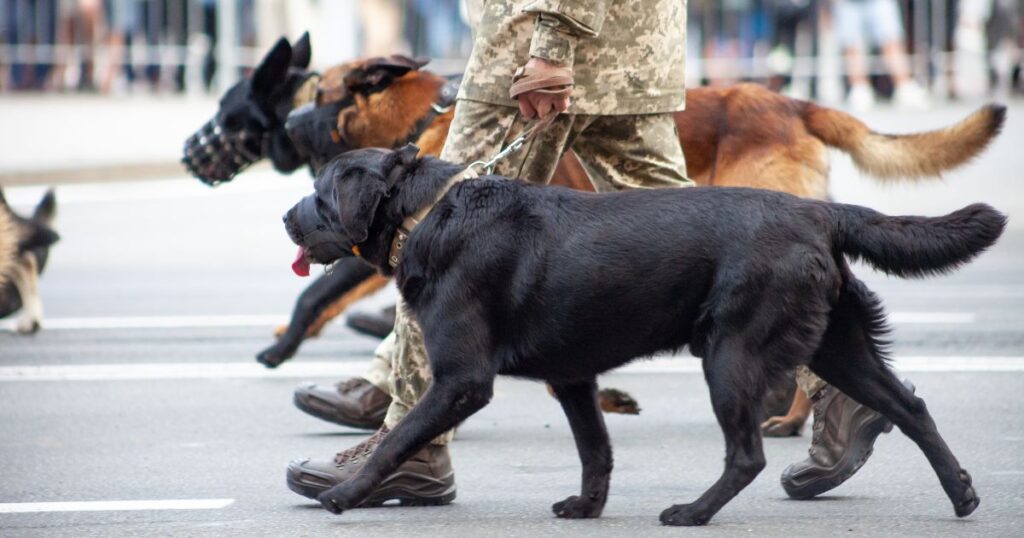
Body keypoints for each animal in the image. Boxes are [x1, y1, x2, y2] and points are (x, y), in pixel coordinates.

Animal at [284, 144, 1003, 522]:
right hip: (839, 346)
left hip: (731, 354)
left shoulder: (462, 379)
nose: (286, 218)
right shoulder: (573, 377)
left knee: (748, 454)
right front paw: (587, 506)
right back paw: (962, 493)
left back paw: (694, 512)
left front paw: (346, 493)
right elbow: (595, 449)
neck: (430, 212)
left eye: (319, 194)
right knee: (911, 406)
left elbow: (398, 436)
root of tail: (819, 212)